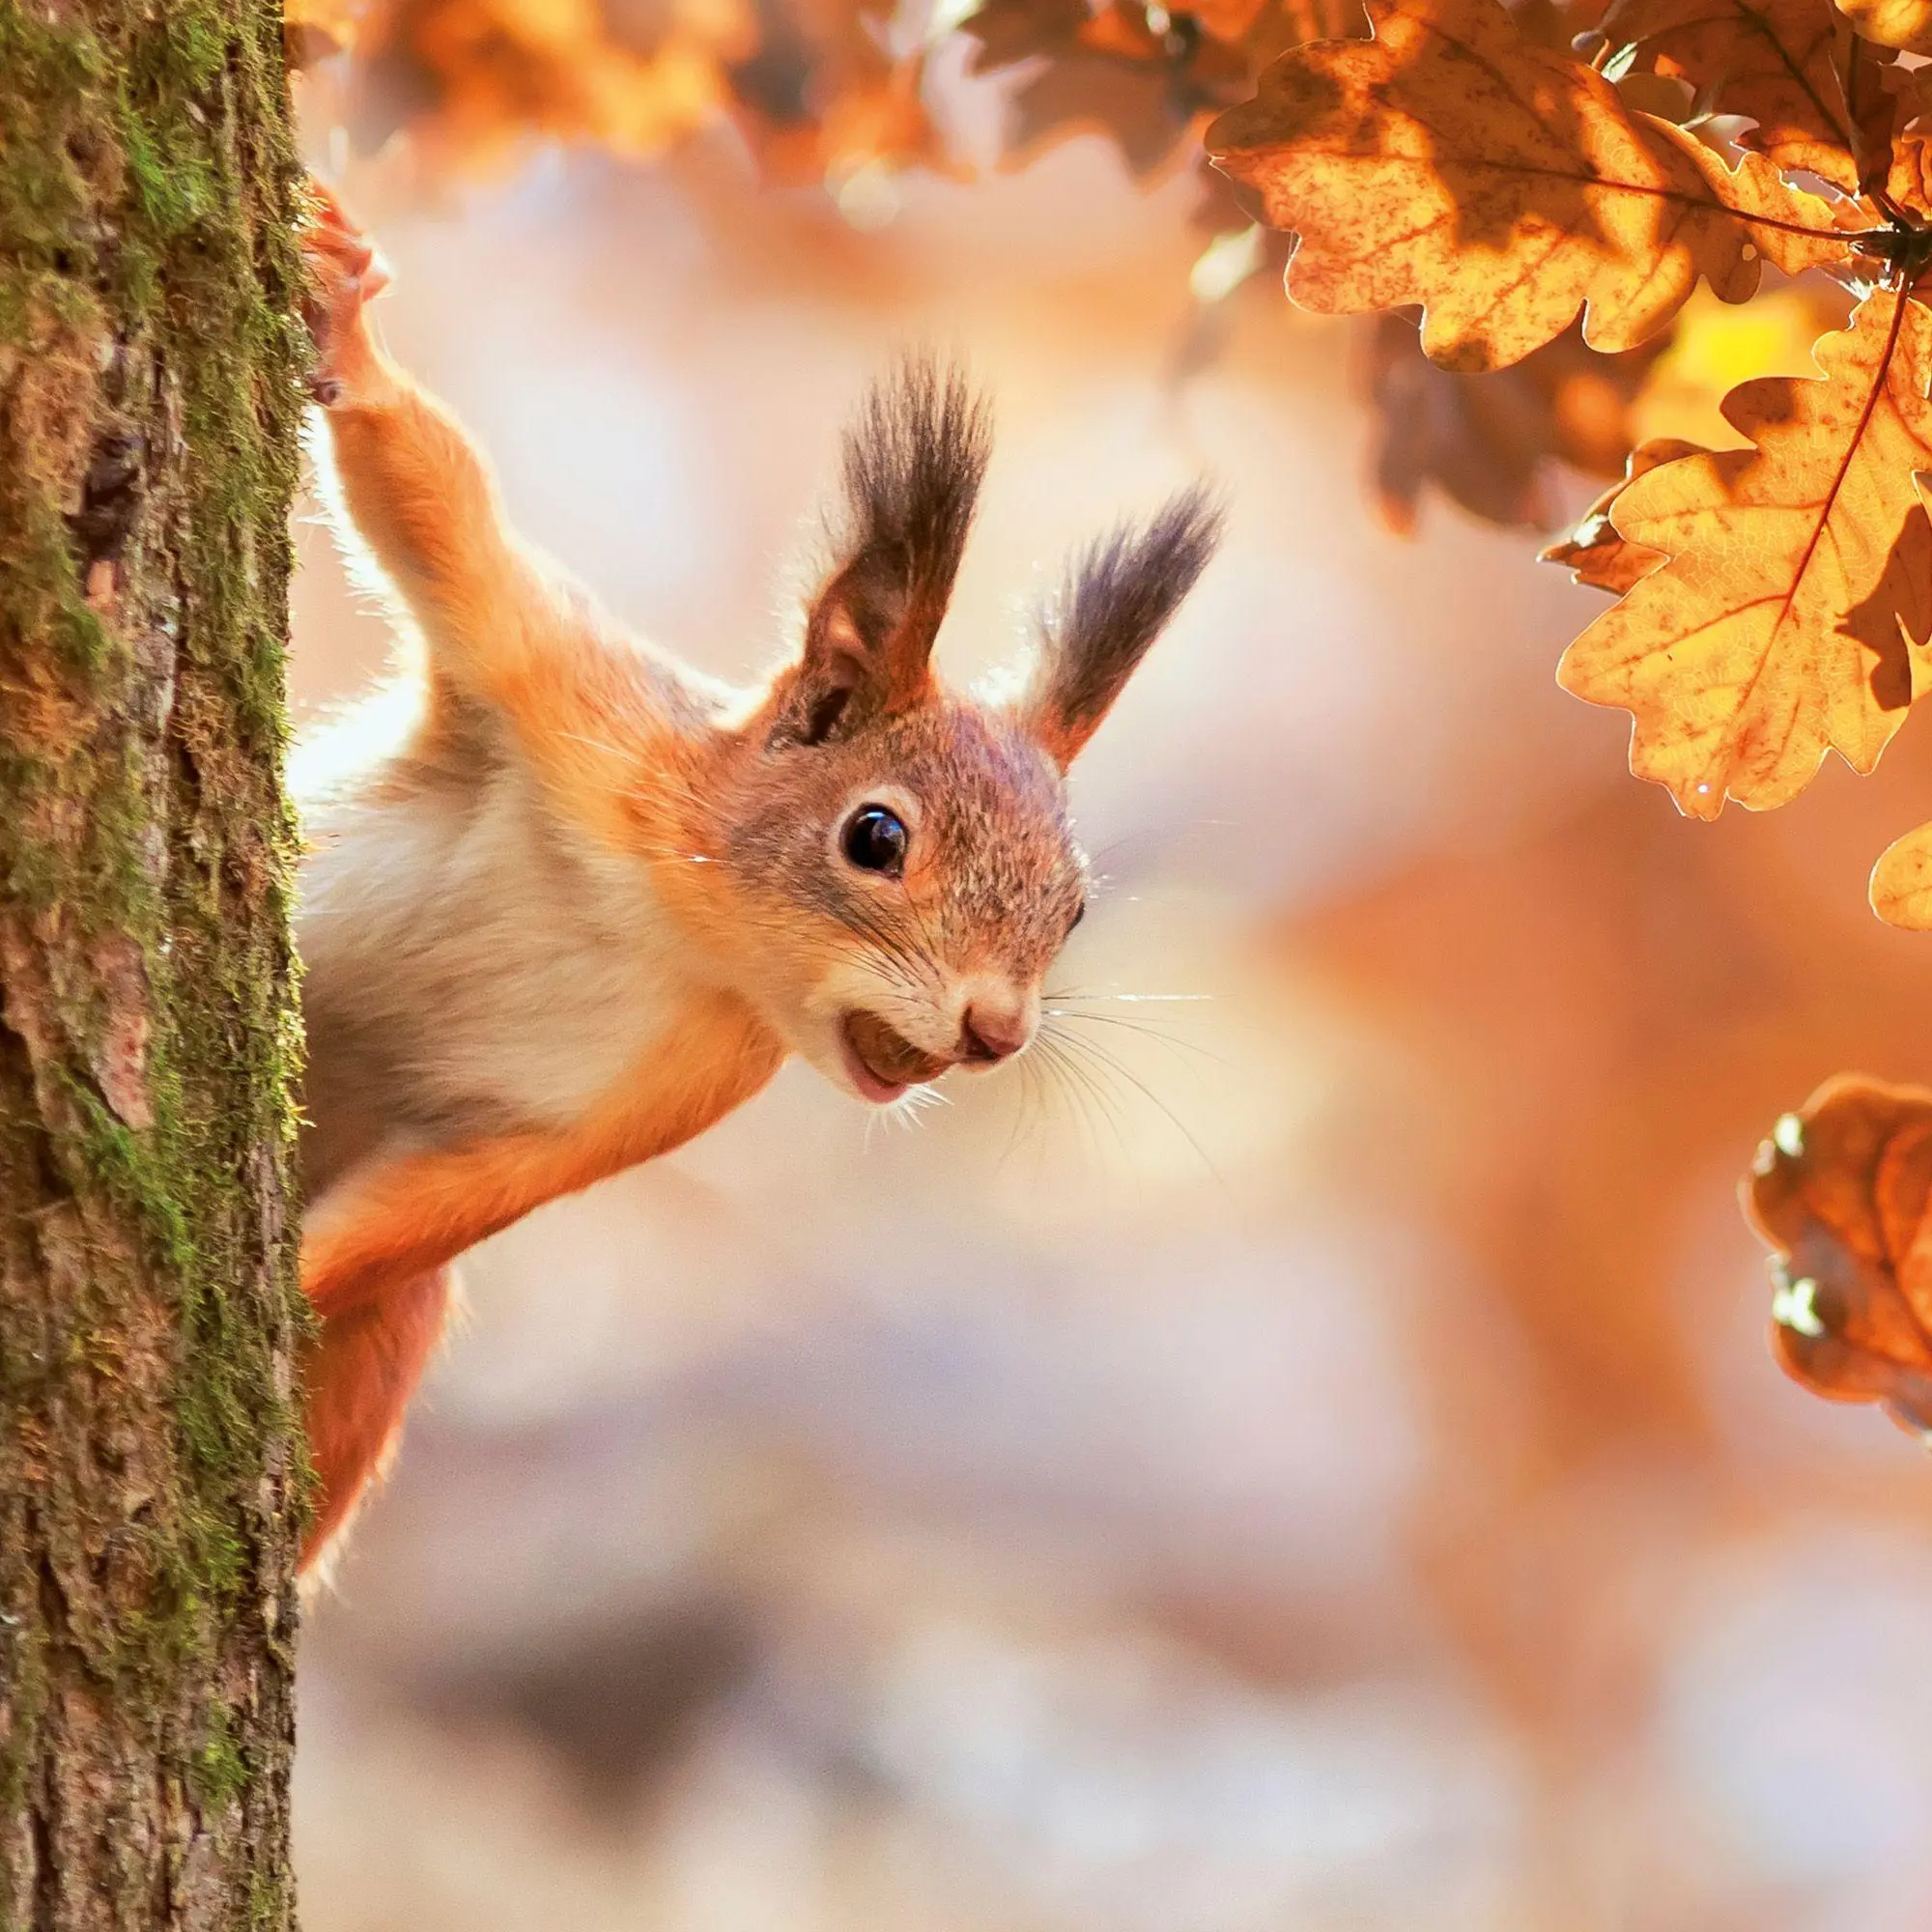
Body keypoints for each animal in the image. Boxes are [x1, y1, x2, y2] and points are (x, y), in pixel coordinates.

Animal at [292, 184, 1220, 1574]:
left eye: (1073, 906)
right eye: (875, 838)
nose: (996, 1032)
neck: (673, 921)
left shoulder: (660, 1094)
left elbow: (431, 1212)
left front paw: (275, 1279)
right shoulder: (575, 700)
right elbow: (434, 495)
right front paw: (347, 321)